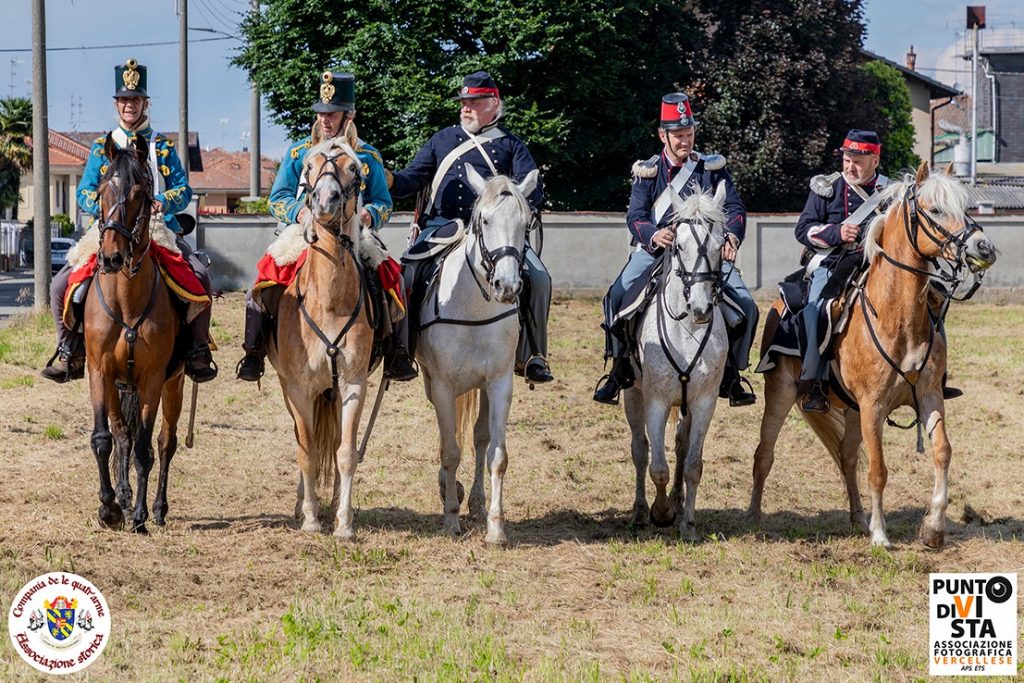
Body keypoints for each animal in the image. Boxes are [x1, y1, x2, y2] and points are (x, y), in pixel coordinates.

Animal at [84, 134, 186, 533]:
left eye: (140, 193)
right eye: (101, 191)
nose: (111, 257)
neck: (126, 301)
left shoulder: (153, 378)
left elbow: (145, 448)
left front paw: (140, 516)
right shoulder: (100, 371)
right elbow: (105, 439)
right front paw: (110, 507)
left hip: (175, 384)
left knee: (165, 442)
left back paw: (156, 508)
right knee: (122, 436)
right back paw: (125, 500)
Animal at [266, 125, 374, 539]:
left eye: (354, 168)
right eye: (308, 166)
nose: (326, 200)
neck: (328, 300)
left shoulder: (353, 383)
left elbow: (345, 453)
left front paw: (343, 523)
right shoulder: (298, 388)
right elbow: (307, 450)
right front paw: (310, 518)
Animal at [415, 164, 539, 545]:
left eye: (525, 222)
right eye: (484, 220)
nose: (507, 286)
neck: (473, 309)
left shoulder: (499, 383)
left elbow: (496, 453)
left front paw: (496, 528)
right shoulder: (442, 386)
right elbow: (450, 449)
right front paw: (450, 518)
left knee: (479, 438)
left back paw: (477, 503)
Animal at [622, 182, 731, 541]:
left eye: (720, 245)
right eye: (679, 244)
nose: (701, 309)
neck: (686, 329)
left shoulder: (704, 402)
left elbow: (693, 464)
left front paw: (688, 524)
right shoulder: (655, 401)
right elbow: (657, 466)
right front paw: (661, 513)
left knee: (681, 448)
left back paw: (679, 502)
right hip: (632, 394)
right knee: (640, 450)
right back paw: (641, 512)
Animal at [747, 162, 998, 548]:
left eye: (965, 207)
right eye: (935, 209)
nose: (983, 247)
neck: (897, 314)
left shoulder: (928, 396)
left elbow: (942, 451)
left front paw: (933, 528)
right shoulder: (873, 405)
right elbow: (879, 469)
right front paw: (880, 535)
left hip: (851, 411)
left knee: (848, 459)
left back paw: (857, 517)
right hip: (782, 393)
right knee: (764, 453)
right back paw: (754, 515)